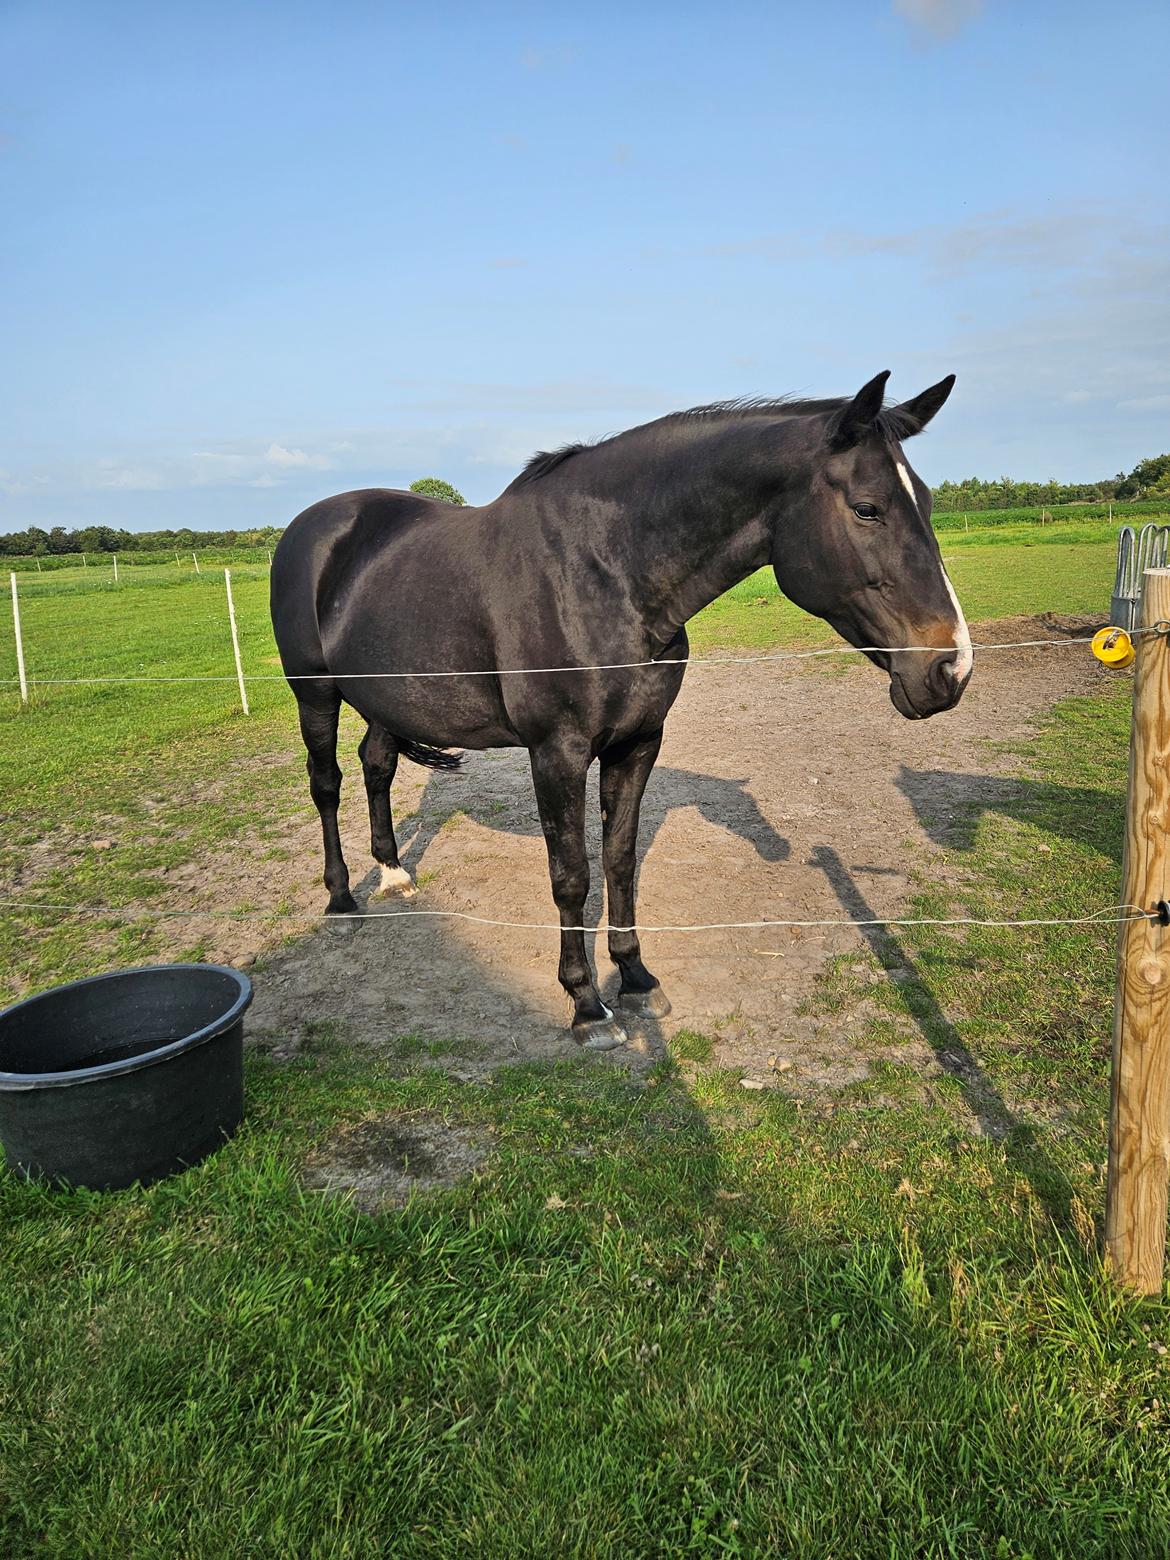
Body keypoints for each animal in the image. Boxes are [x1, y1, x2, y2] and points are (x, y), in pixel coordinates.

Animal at [273, 368, 973, 1048]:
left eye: (929, 503)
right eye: (867, 509)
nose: (951, 669)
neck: (604, 573)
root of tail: (314, 525)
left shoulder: (637, 743)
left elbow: (619, 860)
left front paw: (635, 974)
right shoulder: (557, 752)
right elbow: (572, 875)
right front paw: (586, 1005)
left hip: (385, 698)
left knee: (377, 763)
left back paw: (393, 872)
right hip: (315, 693)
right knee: (327, 782)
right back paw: (341, 898)